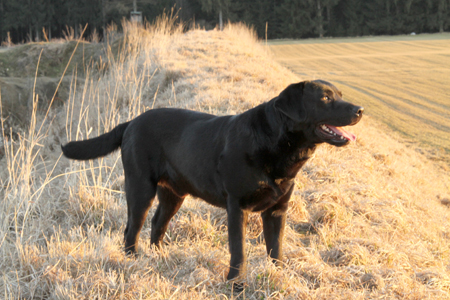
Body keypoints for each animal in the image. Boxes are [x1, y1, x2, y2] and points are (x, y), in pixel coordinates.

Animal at [61, 80, 364, 282]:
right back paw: (132, 262)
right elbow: (239, 250)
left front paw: (277, 276)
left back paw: (159, 257)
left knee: (157, 225)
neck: (277, 143)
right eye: (325, 98)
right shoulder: (237, 207)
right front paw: (236, 284)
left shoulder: (277, 210)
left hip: (173, 195)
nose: (360, 109)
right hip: (140, 189)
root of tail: (131, 122)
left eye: (340, 94)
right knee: (131, 230)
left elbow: (275, 248)